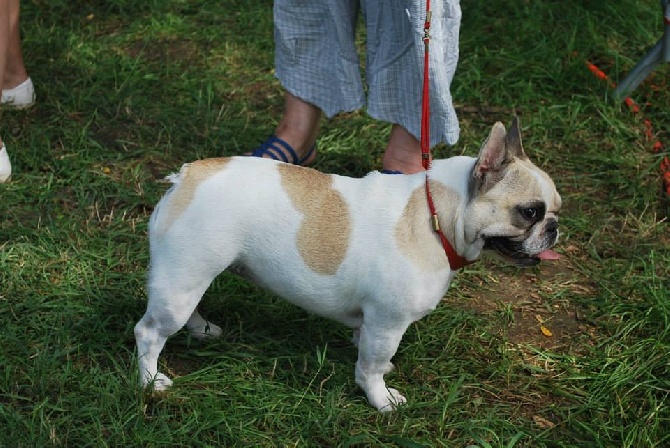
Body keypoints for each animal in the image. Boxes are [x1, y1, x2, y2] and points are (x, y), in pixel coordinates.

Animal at [135, 117, 560, 412]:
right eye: (529, 212)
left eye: (555, 208)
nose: (554, 227)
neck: (437, 215)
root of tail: (187, 176)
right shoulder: (389, 321)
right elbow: (371, 365)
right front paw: (380, 399)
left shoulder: (375, 321)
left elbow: (367, 349)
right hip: (184, 277)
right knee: (149, 332)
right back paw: (151, 381)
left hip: (189, 277)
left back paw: (201, 329)